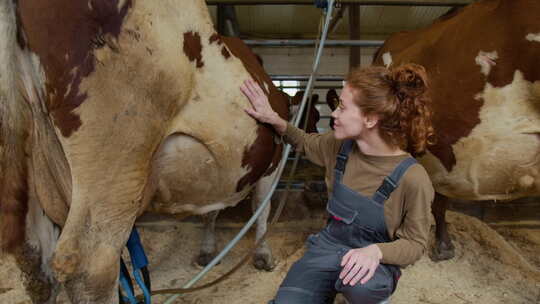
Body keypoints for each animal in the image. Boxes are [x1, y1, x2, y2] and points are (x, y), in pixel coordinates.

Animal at [0, 1, 288, 302]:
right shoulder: (273, 162)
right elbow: (262, 206)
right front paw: (263, 255)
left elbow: (215, 211)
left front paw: (208, 252)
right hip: (118, 150)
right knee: (90, 266)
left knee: (36, 262)